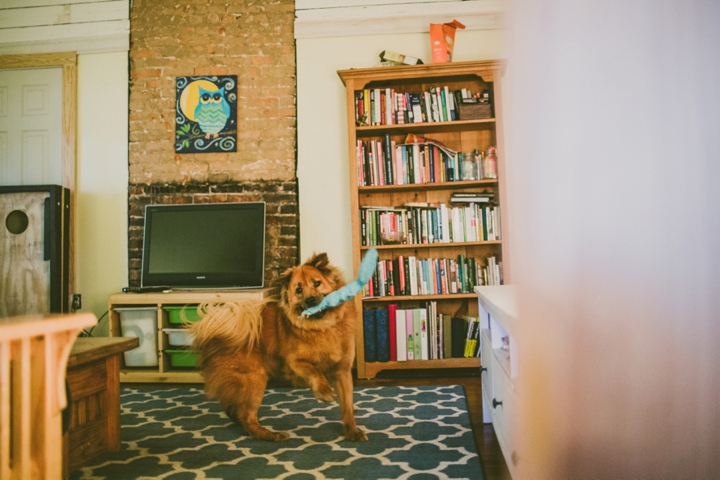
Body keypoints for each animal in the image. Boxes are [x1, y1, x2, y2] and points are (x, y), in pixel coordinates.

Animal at [190, 251, 366, 442]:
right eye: (298, 290)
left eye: (317, 283)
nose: (310, 300)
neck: (323, 326)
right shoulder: (295, 361)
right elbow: (315, 371)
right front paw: (324, 391)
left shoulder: (343, 371)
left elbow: (347, 406)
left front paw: (352, 432)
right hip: (255, 379)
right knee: (246, 417)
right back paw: (270, 435)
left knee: (234, 410)